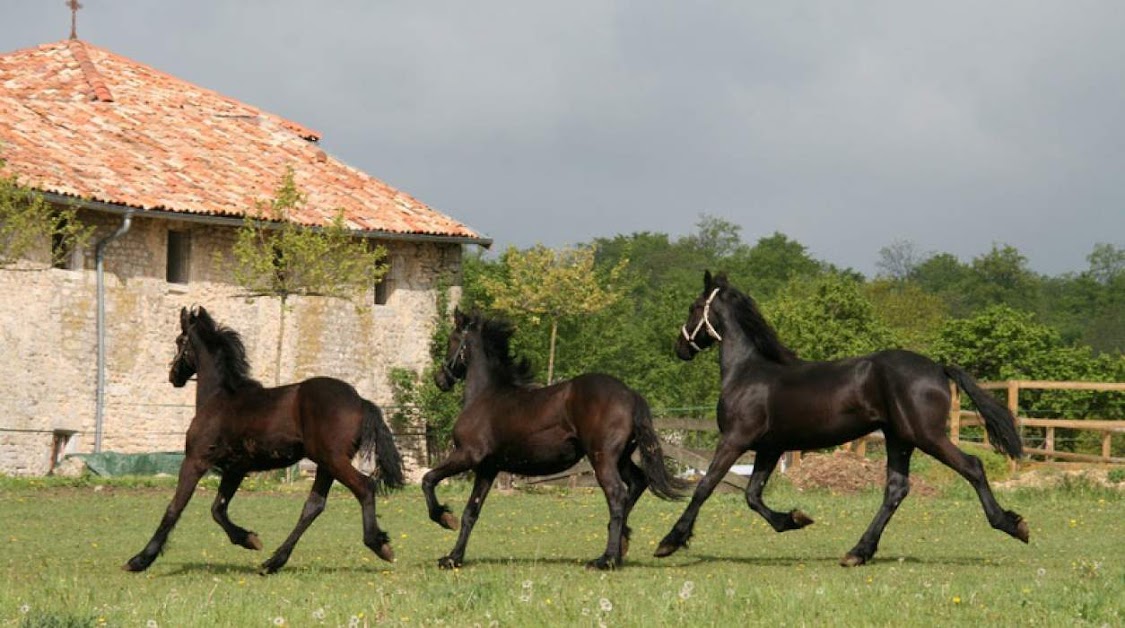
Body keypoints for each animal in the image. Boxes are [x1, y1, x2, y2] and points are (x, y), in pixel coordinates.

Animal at [124, 306, 405, 576]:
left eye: (179, 340)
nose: (173, 376)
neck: (219, 399)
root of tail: (360, 401)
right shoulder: (235, 468)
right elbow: (218, 509)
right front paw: (249, 539)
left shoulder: (195, 460)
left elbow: (175, 508)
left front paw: (139, 560)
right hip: (326, 464)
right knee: (313, 506)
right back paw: (273, 562)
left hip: (332, 460)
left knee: (364, 486)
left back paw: (379, 545)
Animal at [423, 310, 684, 571]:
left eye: (452, 340)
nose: (440, 379)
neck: (485, 396)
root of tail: (630, 394)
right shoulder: (488, 468)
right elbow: (471, 512)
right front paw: (453, 558)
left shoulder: (467, 454)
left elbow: (428, 480)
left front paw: (445, 518)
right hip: (620, 459)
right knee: (638, 482)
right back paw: (621, 547)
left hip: (602, 458)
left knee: (617, 494)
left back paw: (606, 559)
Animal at [652, 273, 1030, 569]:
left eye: (693, 307)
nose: (679, 348)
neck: (747, 373)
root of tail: (937, 367)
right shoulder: (770, 448)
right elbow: (752, 495)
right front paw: (795, 519)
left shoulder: (735, 439)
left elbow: (705, 486)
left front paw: (669, 542)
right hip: (899, 439)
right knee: (896, 489)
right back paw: (857, 552)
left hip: (926, 435)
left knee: (972, 466)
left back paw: (1012, 525)